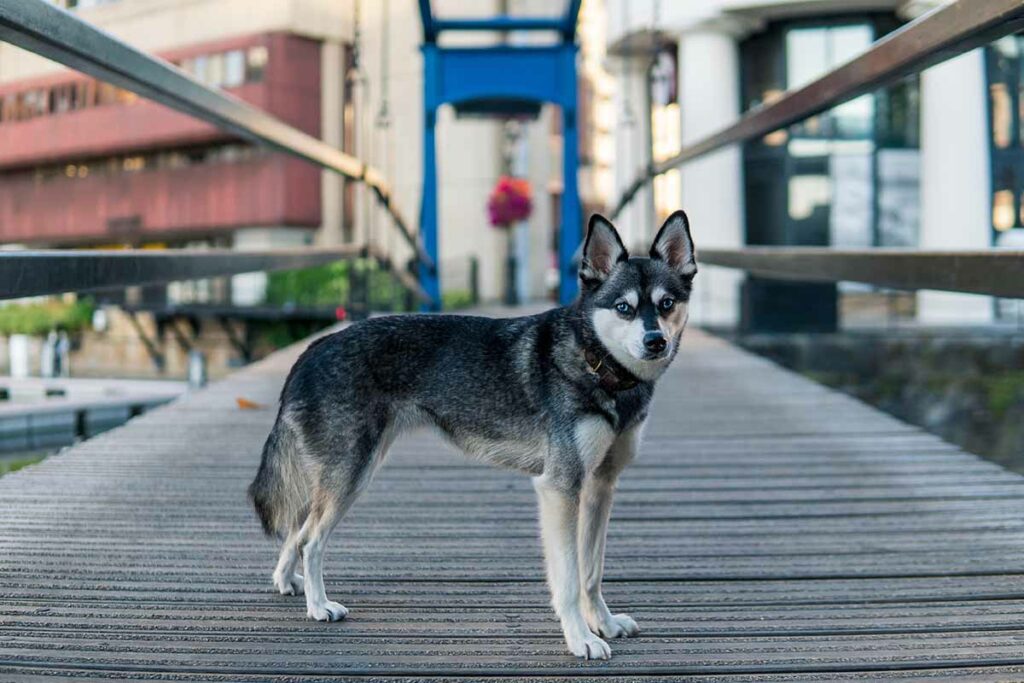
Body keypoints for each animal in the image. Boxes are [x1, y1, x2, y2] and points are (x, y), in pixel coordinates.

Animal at [247, 210, 696, 659]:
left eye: (666, 304)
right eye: (624, 308)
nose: (655, 341)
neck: (596, 363)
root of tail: (312, 349)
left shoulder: (601, 487)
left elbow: (591, 573)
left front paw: (603, 623)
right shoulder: (560, 487)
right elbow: (569, 578)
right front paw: (580, 638)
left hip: (344, 474)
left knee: (296, 530)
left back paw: (287, 581)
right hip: (350, 476)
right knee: (310, 540)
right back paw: (318, 606)